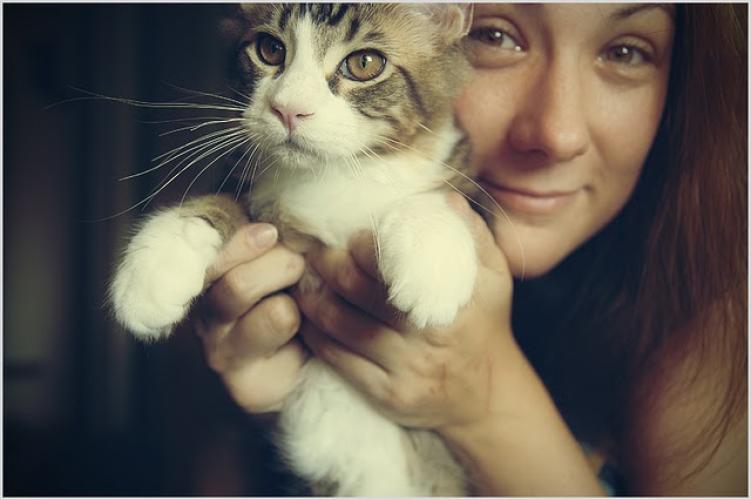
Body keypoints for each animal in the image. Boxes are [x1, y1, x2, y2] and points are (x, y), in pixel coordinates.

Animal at [111, 3, 481, 496]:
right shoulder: (256, 199)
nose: (288, 108)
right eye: (270, 49)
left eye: (365, 63)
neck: (338, 173)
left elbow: (437, 196)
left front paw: (432, 264)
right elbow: (213, 206)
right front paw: (152, 271)